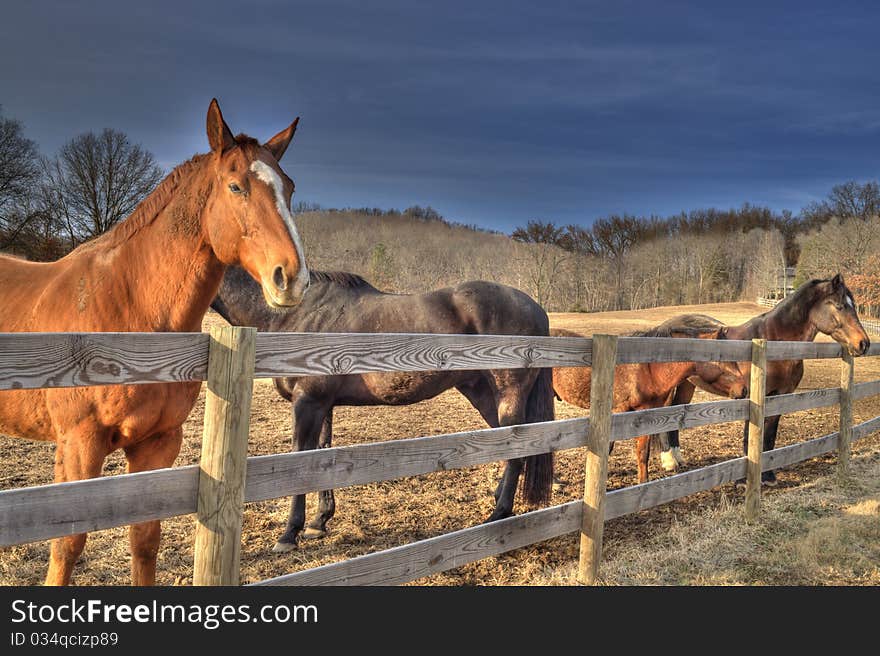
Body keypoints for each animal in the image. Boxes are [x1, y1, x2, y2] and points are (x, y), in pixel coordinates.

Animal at [0, 98, 310, 584]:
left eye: (290, 188)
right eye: (236, 186)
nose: (292, 278)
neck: (131, 316)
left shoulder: (158, 442)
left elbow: (145, 540)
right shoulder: (79, 443)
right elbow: (67, 544)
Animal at [210, 264, 552, 552]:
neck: (297, 315)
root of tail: (536, 309)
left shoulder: (307, 402)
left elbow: (301, 461)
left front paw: (289, 534)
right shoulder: (321, 405)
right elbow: (321, 455)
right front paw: (319, 521)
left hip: (508, 393)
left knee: (518, 447)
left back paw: (498, 514)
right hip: (481, 393)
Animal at [552, 318, 748, 482]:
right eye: (723, 359)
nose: (744, 389)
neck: (647, 368)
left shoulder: (645, 416)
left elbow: (643, 453)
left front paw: (643, 484)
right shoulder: (617, 414)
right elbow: (608, 448)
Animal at [652, 274, 868, 484]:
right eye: (839, 306)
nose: (863, 343)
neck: (775, 342)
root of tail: (664, 328)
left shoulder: (779, 396)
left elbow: (770, 436)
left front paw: (769, 476)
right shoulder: (752, 396)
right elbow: (750, 436)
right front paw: (743, 480)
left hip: (687, 385)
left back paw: (678, 458)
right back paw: (669, 461)